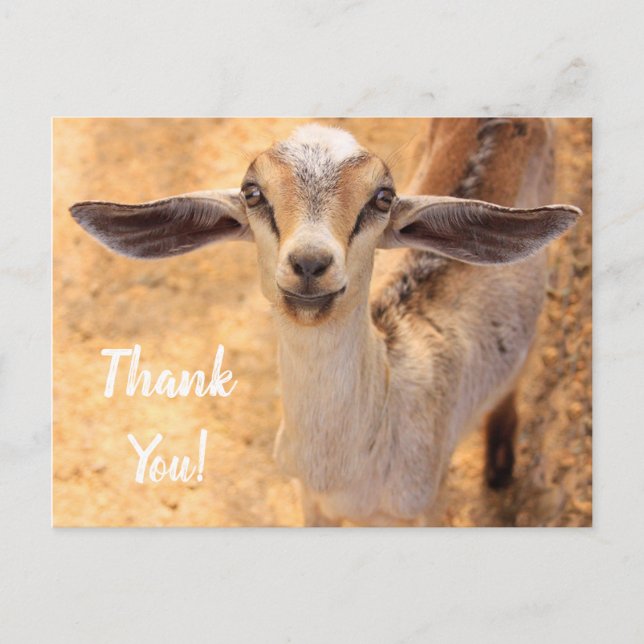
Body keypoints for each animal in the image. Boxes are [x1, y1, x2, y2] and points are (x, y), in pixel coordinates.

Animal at [70, 119, 581, 526]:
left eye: (383, 197)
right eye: (253, 192)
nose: (310, 263)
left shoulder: (426, 502)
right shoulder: (309, 499)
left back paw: (500, 468)